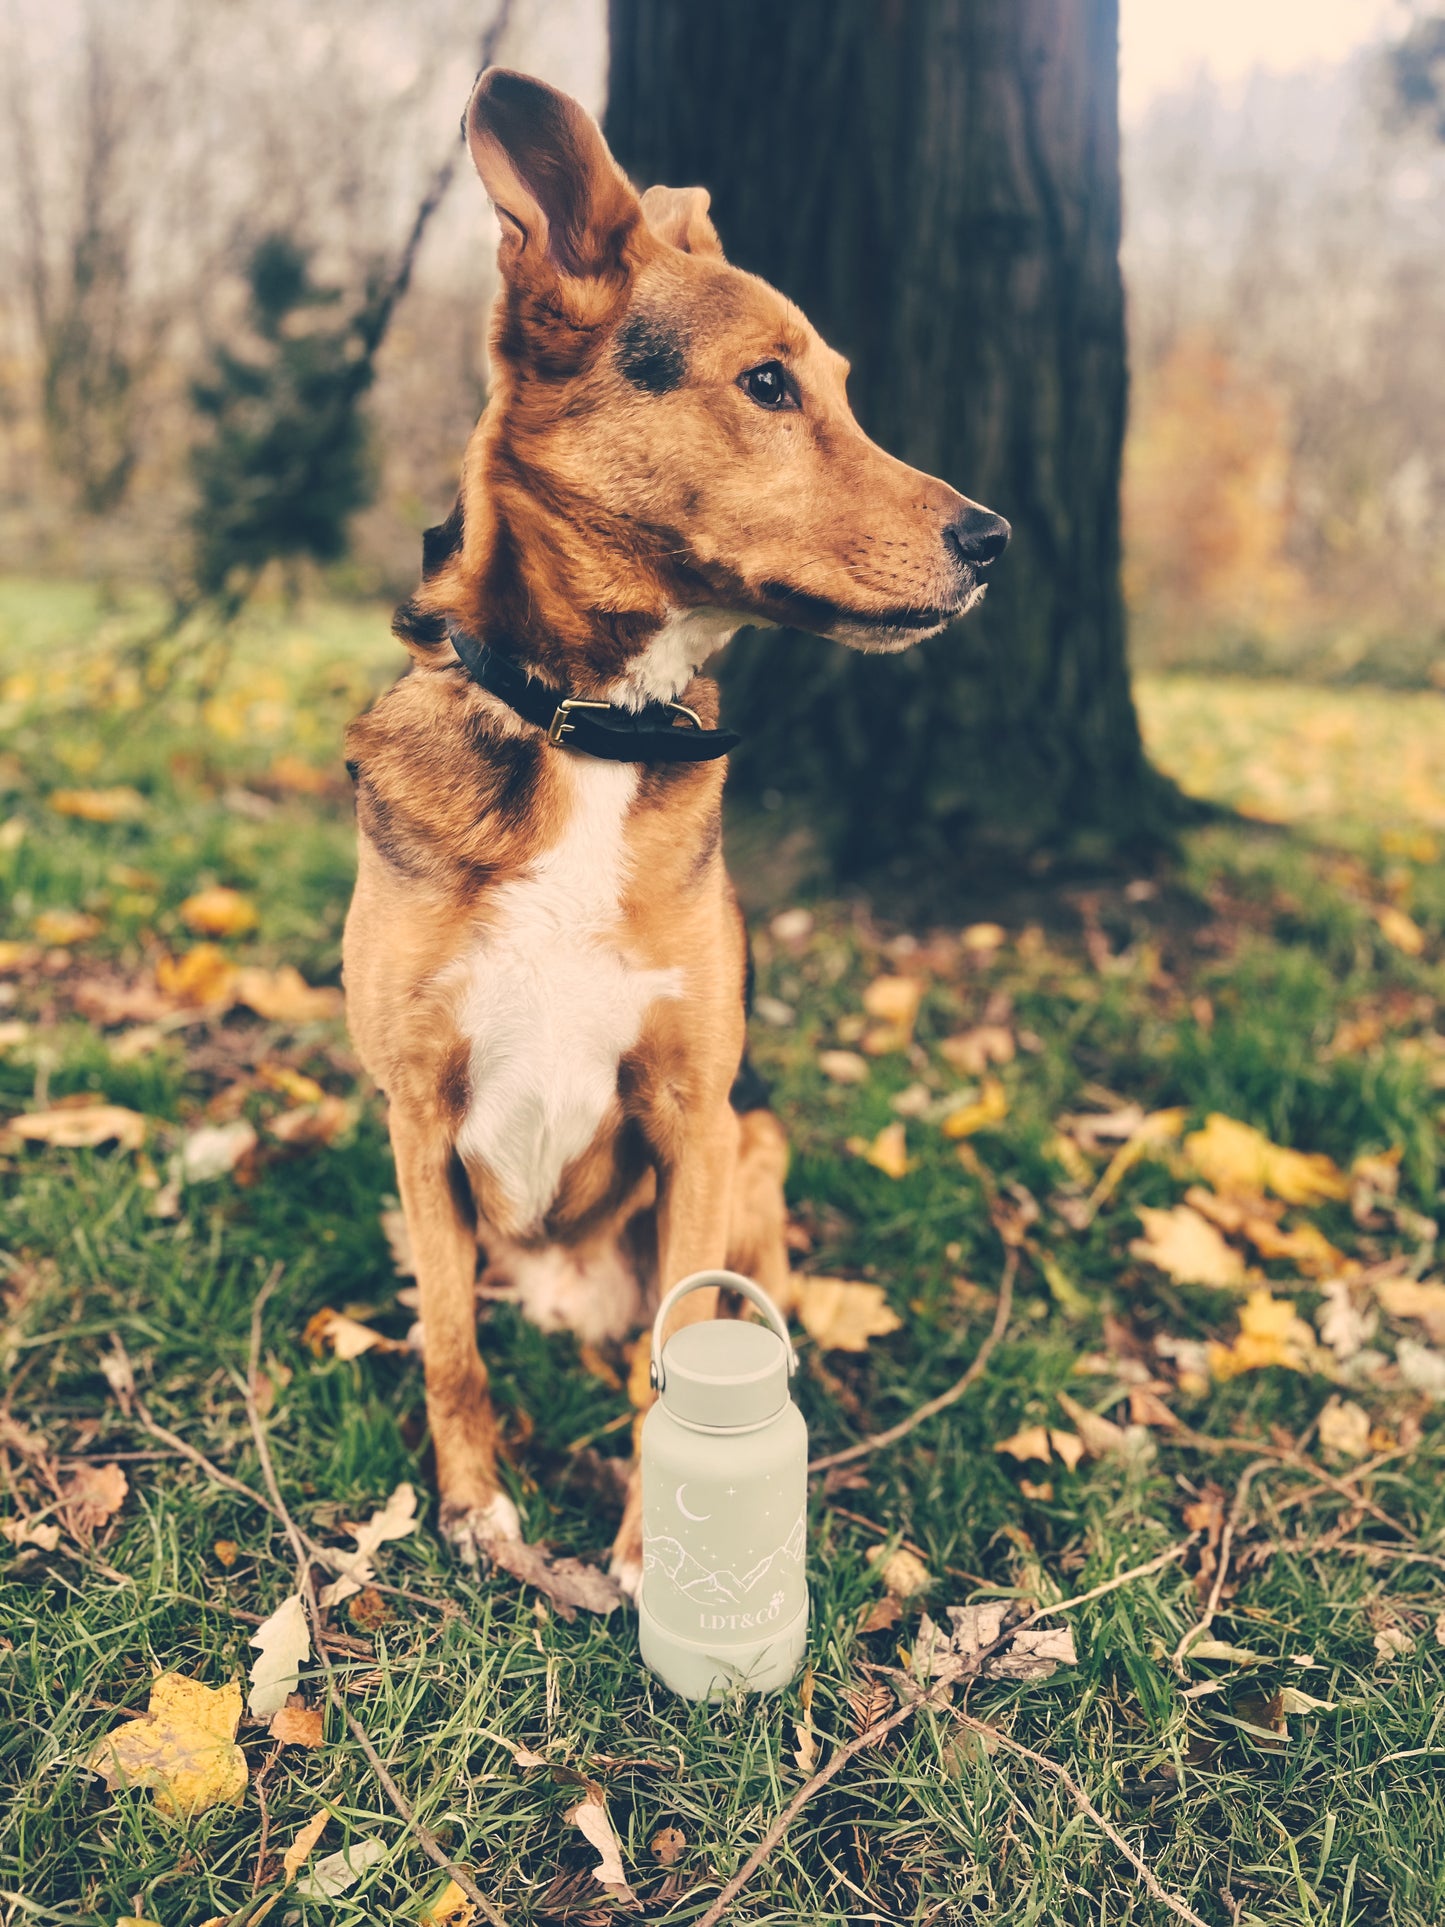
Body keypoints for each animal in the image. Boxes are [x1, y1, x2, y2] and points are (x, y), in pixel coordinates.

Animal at [342, 67, 1009, 1587]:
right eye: (765, 383)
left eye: (839, 389)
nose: (995, 540)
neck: (591, 727)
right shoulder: (415, 1108)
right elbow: (451, 1346)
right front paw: (475, 1505)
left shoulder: (696, 1115)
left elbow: (677, 1350)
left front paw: (655, 1551)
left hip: (753, 1156)